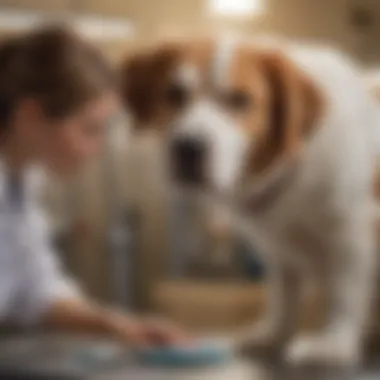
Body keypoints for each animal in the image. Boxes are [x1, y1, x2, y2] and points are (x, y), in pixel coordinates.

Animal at [120, 37, 380, 366]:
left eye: (240, 100)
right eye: (174, 94)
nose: (188, 148)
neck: (294, 165)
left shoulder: (351, 234)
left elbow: (344, 292)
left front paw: (334, 343)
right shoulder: (279, 250)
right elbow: (283, 294)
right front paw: (274, 335)